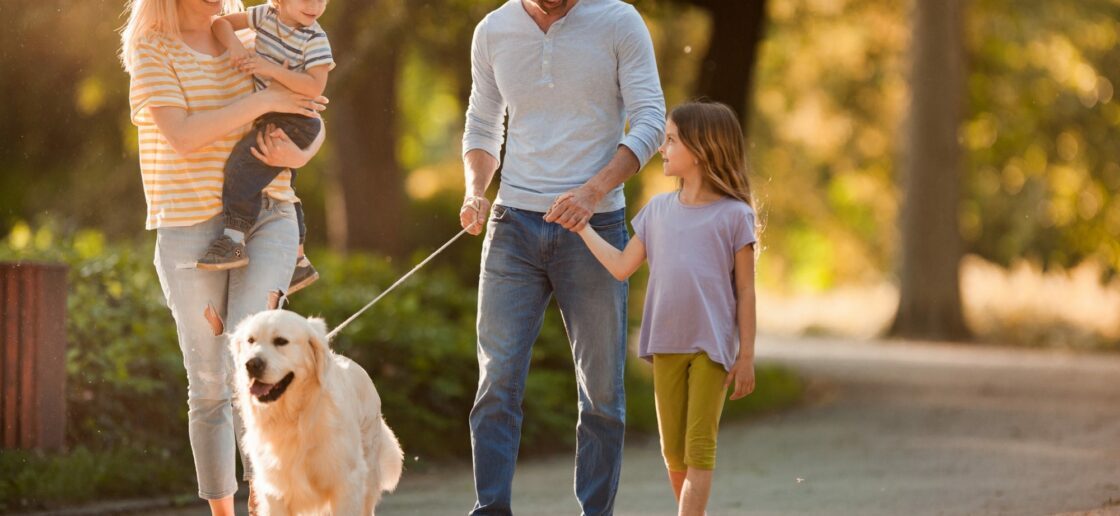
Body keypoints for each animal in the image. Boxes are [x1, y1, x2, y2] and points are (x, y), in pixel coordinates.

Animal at [229, 306, 405, 512]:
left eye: (281, 341)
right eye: (250, 340)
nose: (251, 364)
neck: (293, 416)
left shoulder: (346, 481)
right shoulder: (275, 488)